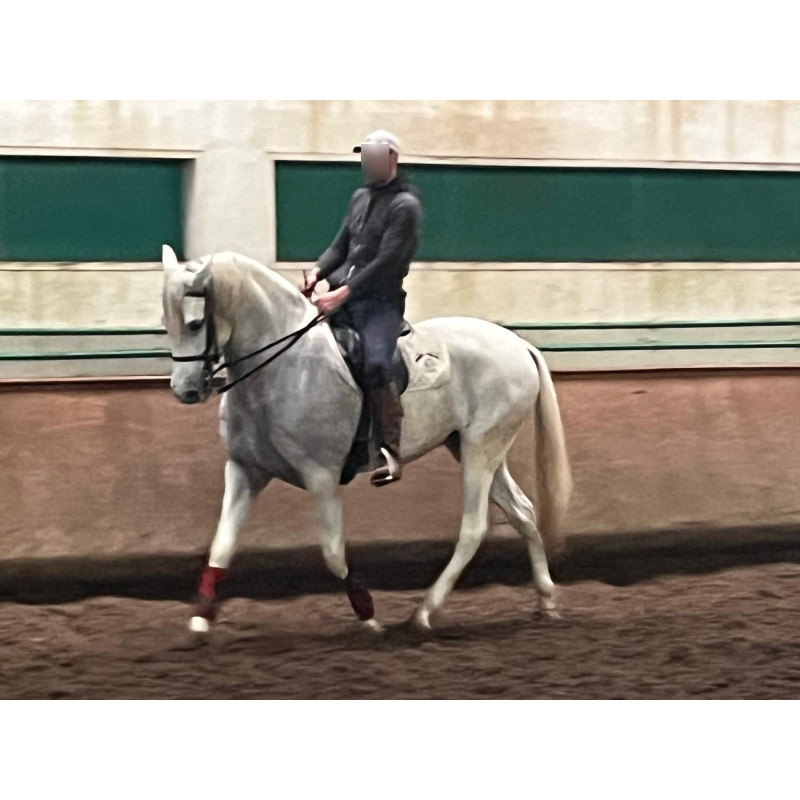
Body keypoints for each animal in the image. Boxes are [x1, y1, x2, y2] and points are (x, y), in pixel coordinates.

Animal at [161, 245, 572, 635]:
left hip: (481, 447)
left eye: (196, 322)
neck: (283, 368)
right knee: (522, 511)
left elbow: (332, 552)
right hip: (472, 446)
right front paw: (200, 620)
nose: (185, 390)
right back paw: (546, 600)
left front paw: (369, 616)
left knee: (474, 528)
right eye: (166, 322)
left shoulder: (321, 476)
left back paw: (424, 613)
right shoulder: (245, 470)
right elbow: (222, 544)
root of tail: (518, 345)